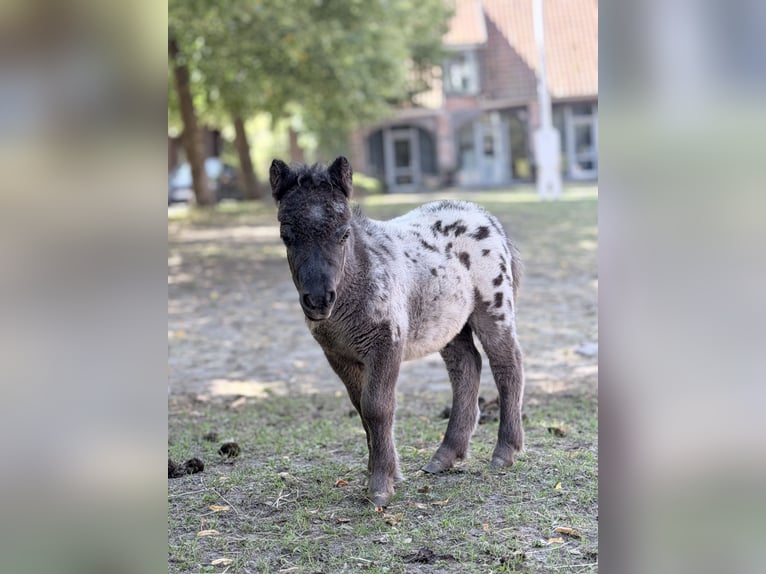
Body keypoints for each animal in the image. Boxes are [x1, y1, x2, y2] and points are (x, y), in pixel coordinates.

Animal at [270, 156, 525, 507]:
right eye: (286, 235)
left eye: (343, 233)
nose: (318, 300)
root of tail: (485, 216)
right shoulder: (338, 355)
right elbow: (360, 408)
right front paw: (377, 470)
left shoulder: (386, 344)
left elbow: (377, 407)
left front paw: (381, 485)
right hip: (448, 323)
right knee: (466, 367)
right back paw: (445, 456)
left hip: (493, 307)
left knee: (507, 364)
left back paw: (504, 451)